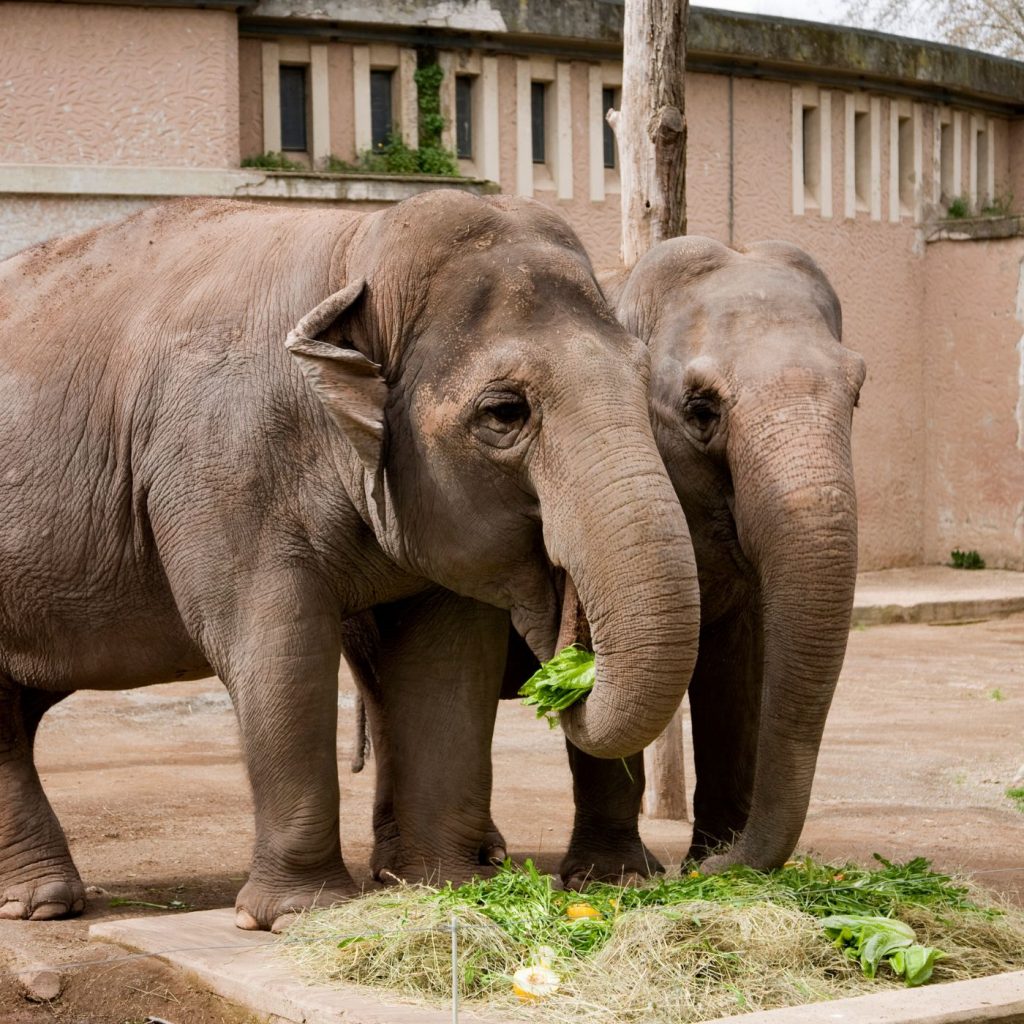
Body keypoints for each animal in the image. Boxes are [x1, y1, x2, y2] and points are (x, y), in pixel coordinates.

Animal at [0, 191, 702, 931]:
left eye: (643, 381)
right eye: (505, 412)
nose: (568, 661)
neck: (356, 250)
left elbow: (448, 661)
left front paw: (444, 887)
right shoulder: (219, 471)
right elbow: (278, 646)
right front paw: (296, 915)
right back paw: (42, 906)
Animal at [347, 234, 865, 884]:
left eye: (858, 392)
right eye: (701, 410)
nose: (711, 868)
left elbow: (739, 671)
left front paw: (713, 863)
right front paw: (616, 878)